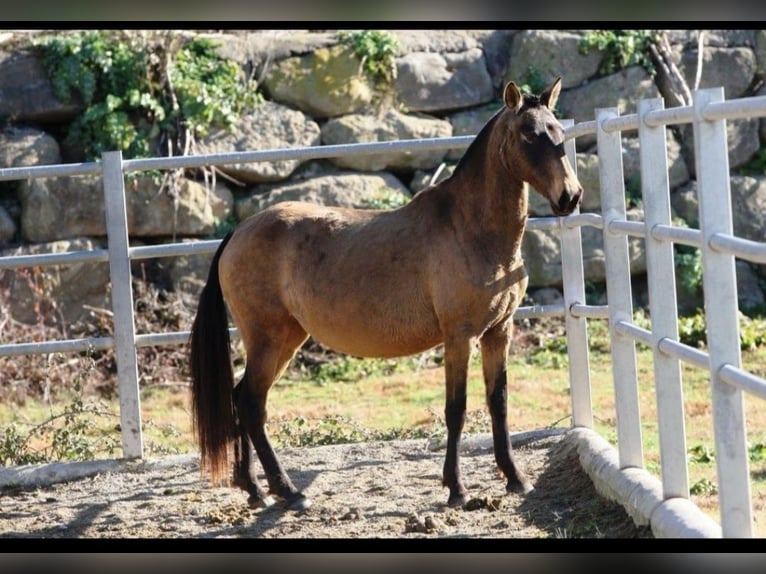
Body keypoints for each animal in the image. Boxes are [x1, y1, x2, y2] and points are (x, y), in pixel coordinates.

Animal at [189, 76, 583, 511]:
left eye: (558, 131)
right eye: (528, 134)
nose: (570, 196)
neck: (471, 229)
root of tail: (238, 232)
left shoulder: (499, 331)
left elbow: (499, 403)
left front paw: (515, 478)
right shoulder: (459, 337)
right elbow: (457, 409)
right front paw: (456, 489)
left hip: (287, 338)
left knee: (241, 397)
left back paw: (255, 489)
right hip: (268, 338)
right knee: (251, 403)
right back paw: (288, 491)